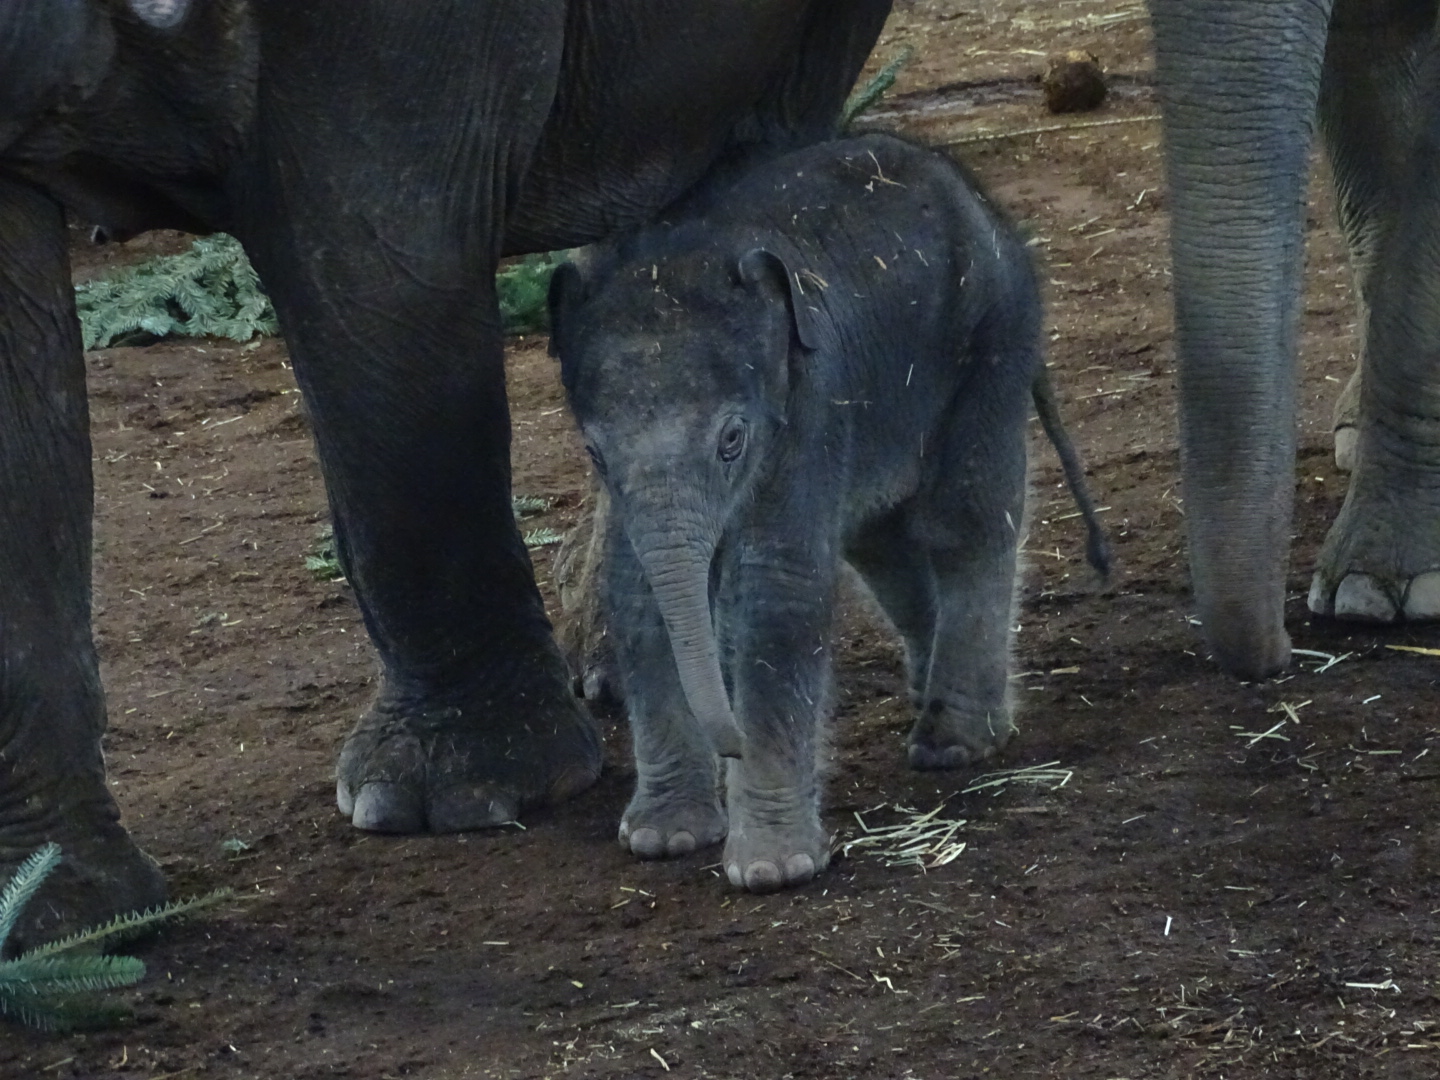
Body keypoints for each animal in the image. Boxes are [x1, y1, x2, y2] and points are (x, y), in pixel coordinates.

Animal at [550, 133, 1109, 892]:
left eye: (733, 439)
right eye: (593, 451)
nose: (731, 747)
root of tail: (979, 194)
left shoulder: (808, 408)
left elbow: (775, 594)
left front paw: (769, 870)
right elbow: (639, 598)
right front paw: (664, 840)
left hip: (993, 338)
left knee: (964, 519)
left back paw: (956, 744)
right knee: (882, 542)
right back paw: (927, 696)